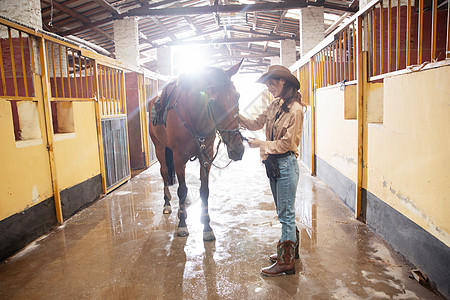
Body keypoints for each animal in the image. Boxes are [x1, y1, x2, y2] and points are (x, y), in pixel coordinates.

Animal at [149, 61, 244, 241]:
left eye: (237, 97)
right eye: (213, 102)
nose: (238, 149)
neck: (194, 117)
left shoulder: (205, 155)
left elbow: (204, 190)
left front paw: (207, 227)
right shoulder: (179, 158)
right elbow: (181, 189)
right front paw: (182, 225)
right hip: (160, 148)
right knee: (164, 173)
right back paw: (167, 203)